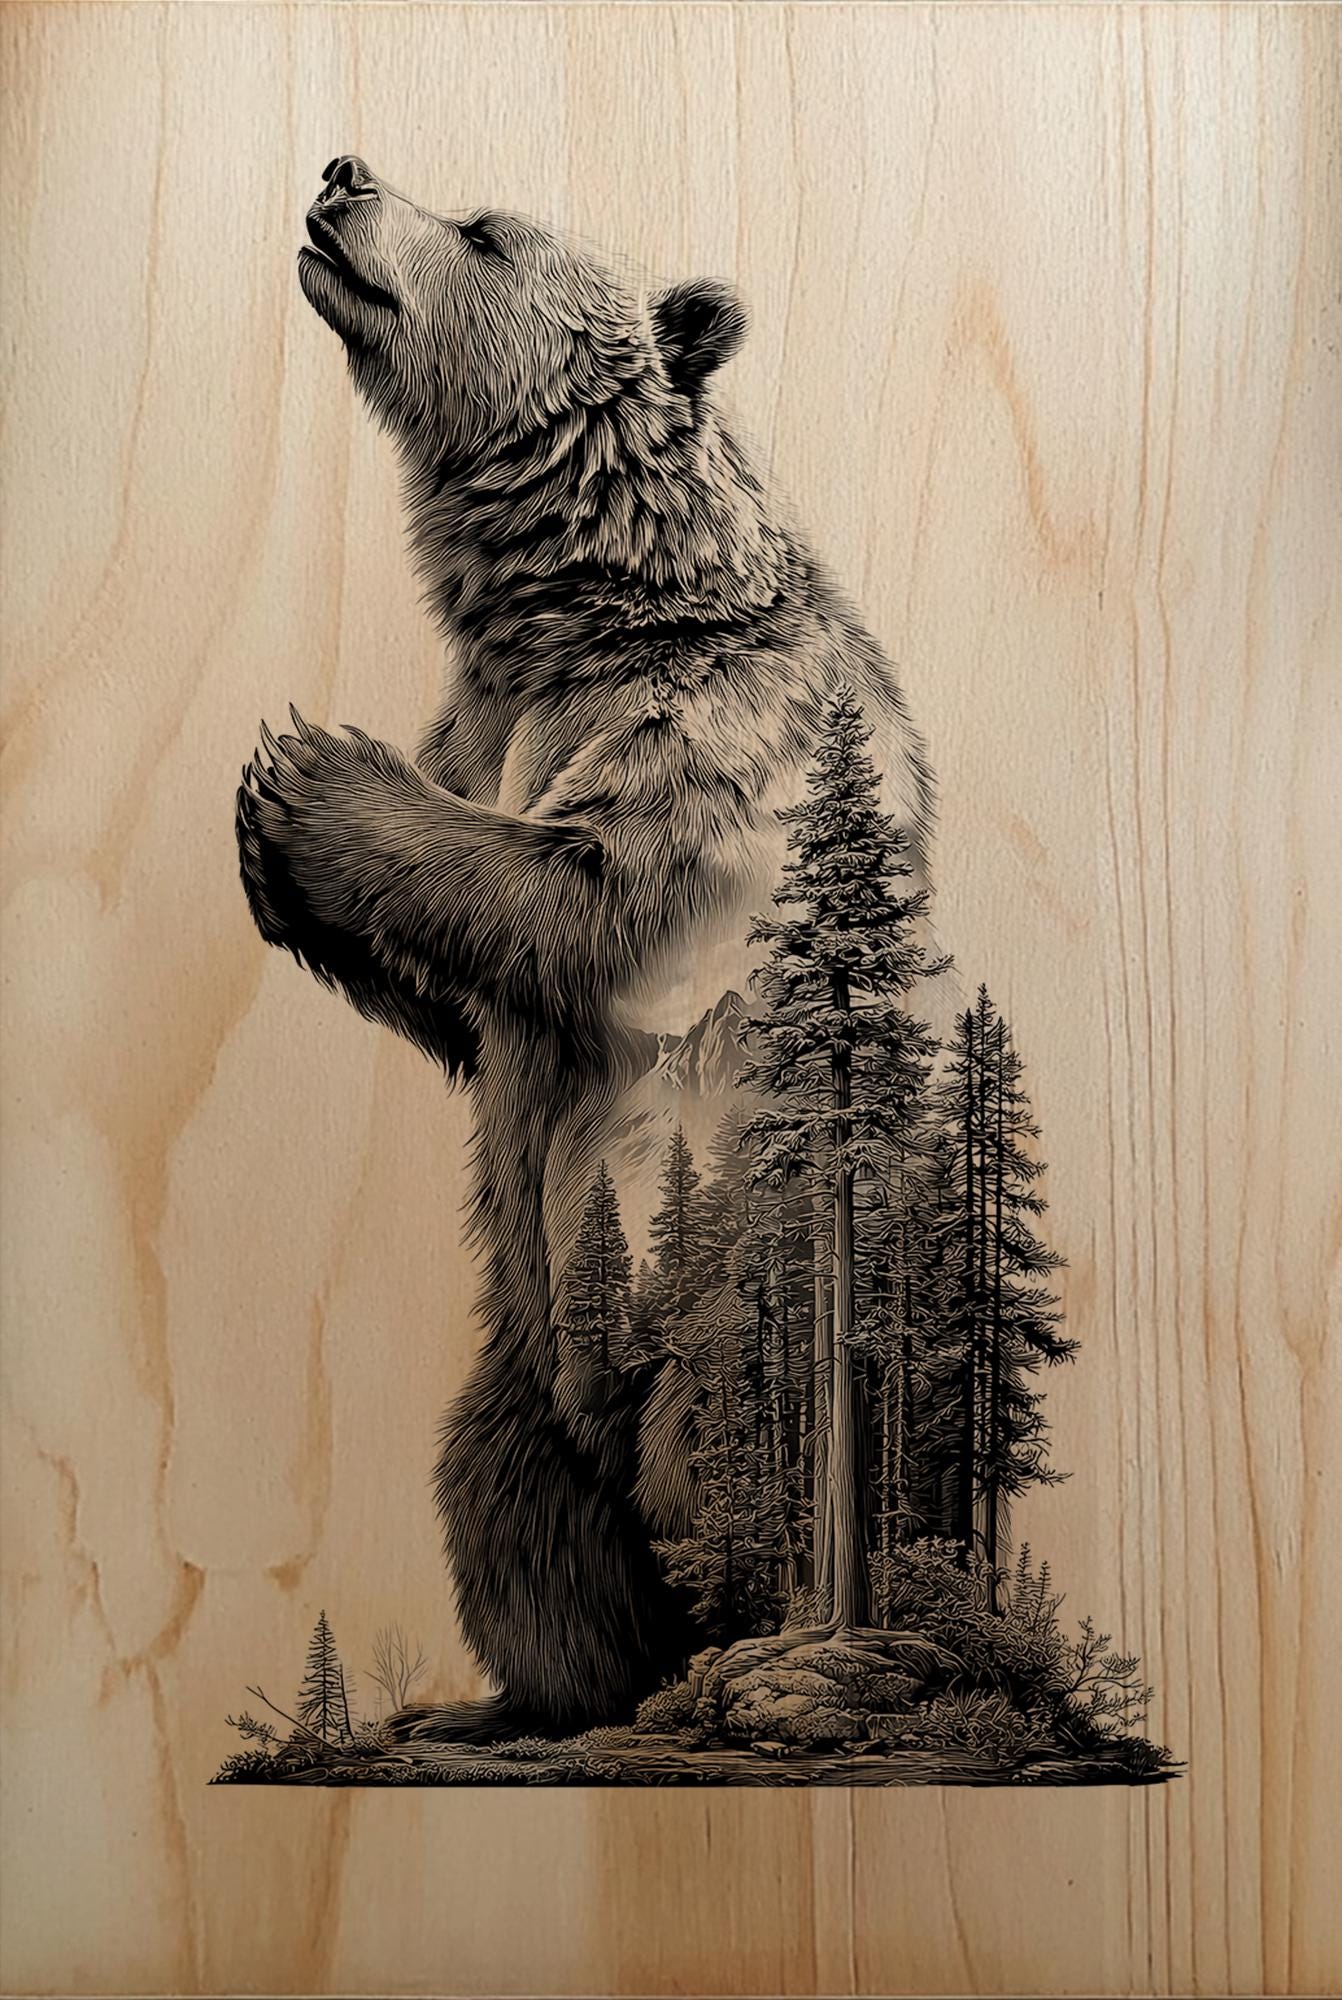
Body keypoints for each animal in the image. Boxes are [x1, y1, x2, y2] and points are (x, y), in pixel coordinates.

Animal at [236, 154, 933, 1741]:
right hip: (518, 1361)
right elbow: (462, 1007)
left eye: (486, 231)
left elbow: (582, 894)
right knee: (509, 1513)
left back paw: (731, 1658)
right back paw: (528, 1701)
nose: (342, 173)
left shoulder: (712, 723)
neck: (588, 608)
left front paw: (309, 771)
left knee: (725, 1475)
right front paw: (262, 830)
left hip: (729, 1297)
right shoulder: (488, 715)